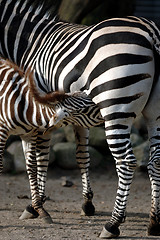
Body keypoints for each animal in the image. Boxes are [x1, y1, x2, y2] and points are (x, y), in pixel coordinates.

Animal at [0, 0, 160, 236]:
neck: (29, 45)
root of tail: (151, 33)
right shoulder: (77, 118)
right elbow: (83, 157)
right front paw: (87, 203)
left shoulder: (41, 116)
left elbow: (40, 159)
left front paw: (35, 206)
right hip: (154, 113)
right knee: (155, 161)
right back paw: (154, 222)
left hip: (116, 109)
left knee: (126, 162)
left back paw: (113, 224)